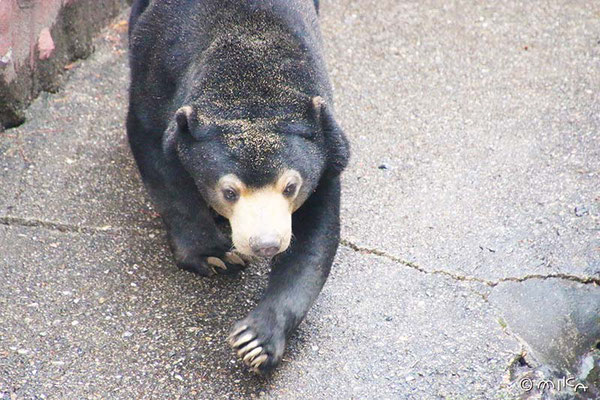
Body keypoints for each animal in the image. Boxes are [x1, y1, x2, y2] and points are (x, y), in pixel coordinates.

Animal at [128, 0, 350, 374]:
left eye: (290, 187)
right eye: (229, 191)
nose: (266, 245)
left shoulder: (325, 151)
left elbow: (314, 239)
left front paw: (256, 340)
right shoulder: (157, 72)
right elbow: (160, 162)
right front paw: (216, 255)